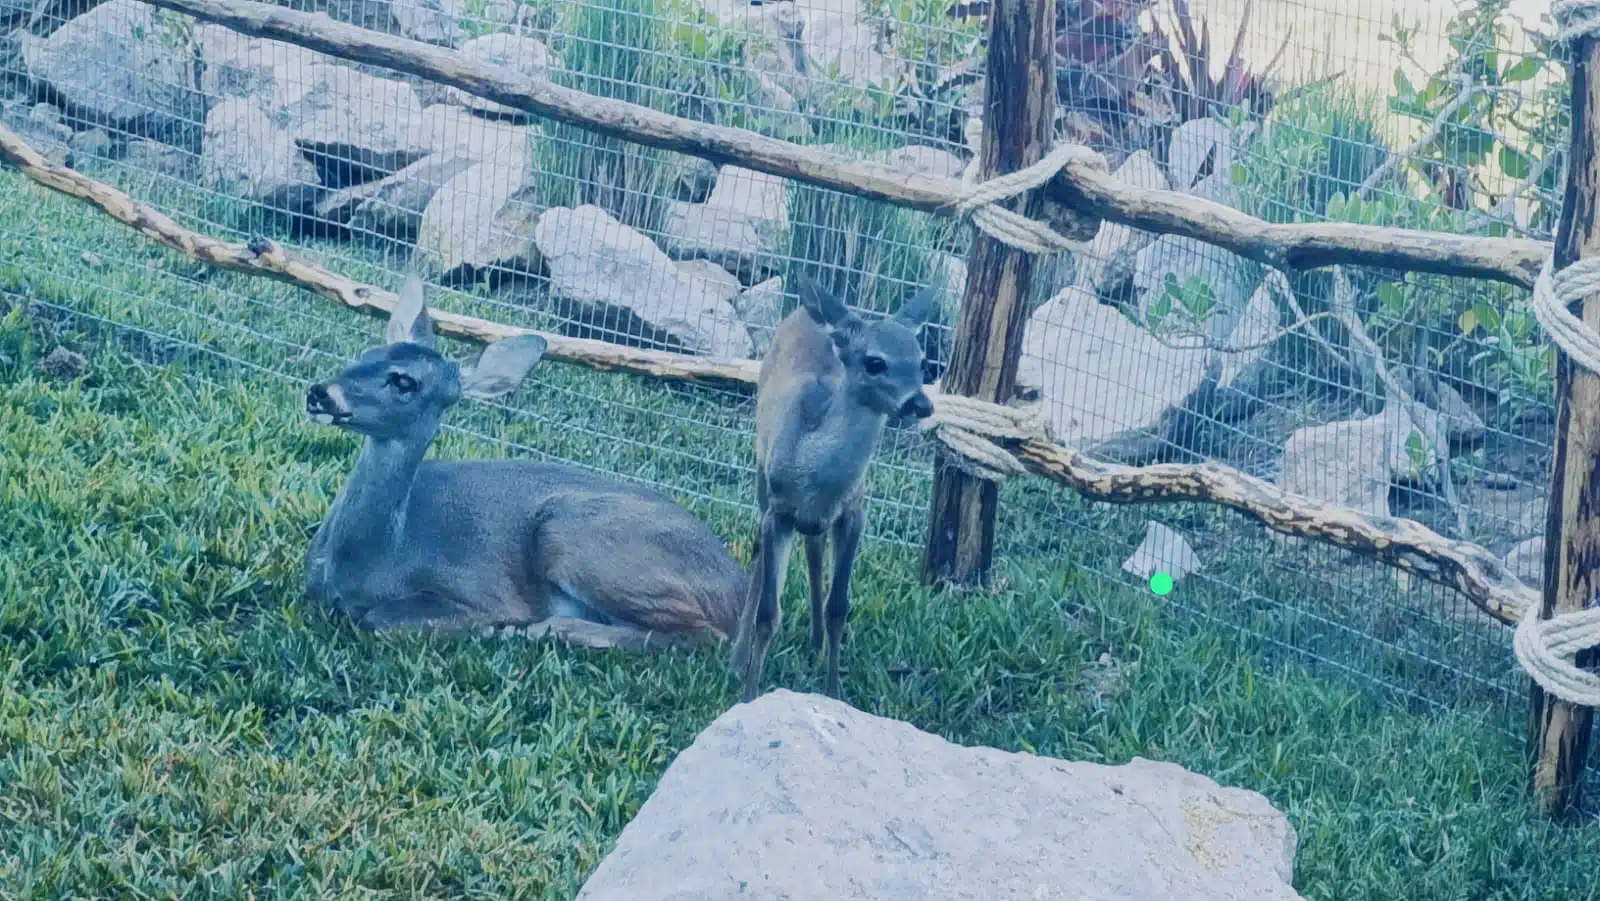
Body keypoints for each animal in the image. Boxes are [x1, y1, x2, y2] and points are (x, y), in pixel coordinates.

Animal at [300, 275, 748, 649]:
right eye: (367, 353)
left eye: (404, 381)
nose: (320, 393)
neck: (374, 560)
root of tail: (737, 590)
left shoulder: (481, 589)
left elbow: (381, 619)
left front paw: (491, 627)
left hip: (575, 536)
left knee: (702, 636)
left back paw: (537, 630)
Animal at [732, 272, 940, 700]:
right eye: (875, 362)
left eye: (923, 362)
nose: (921, 404)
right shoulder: (779, 508)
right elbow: (768, 613)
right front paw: (749, 694)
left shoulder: (853, 511)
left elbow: (838, 607)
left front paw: (832, 693)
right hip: (761, 473)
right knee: (761, 554)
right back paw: (737, 658)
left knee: (813, 548)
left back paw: (813, 642)